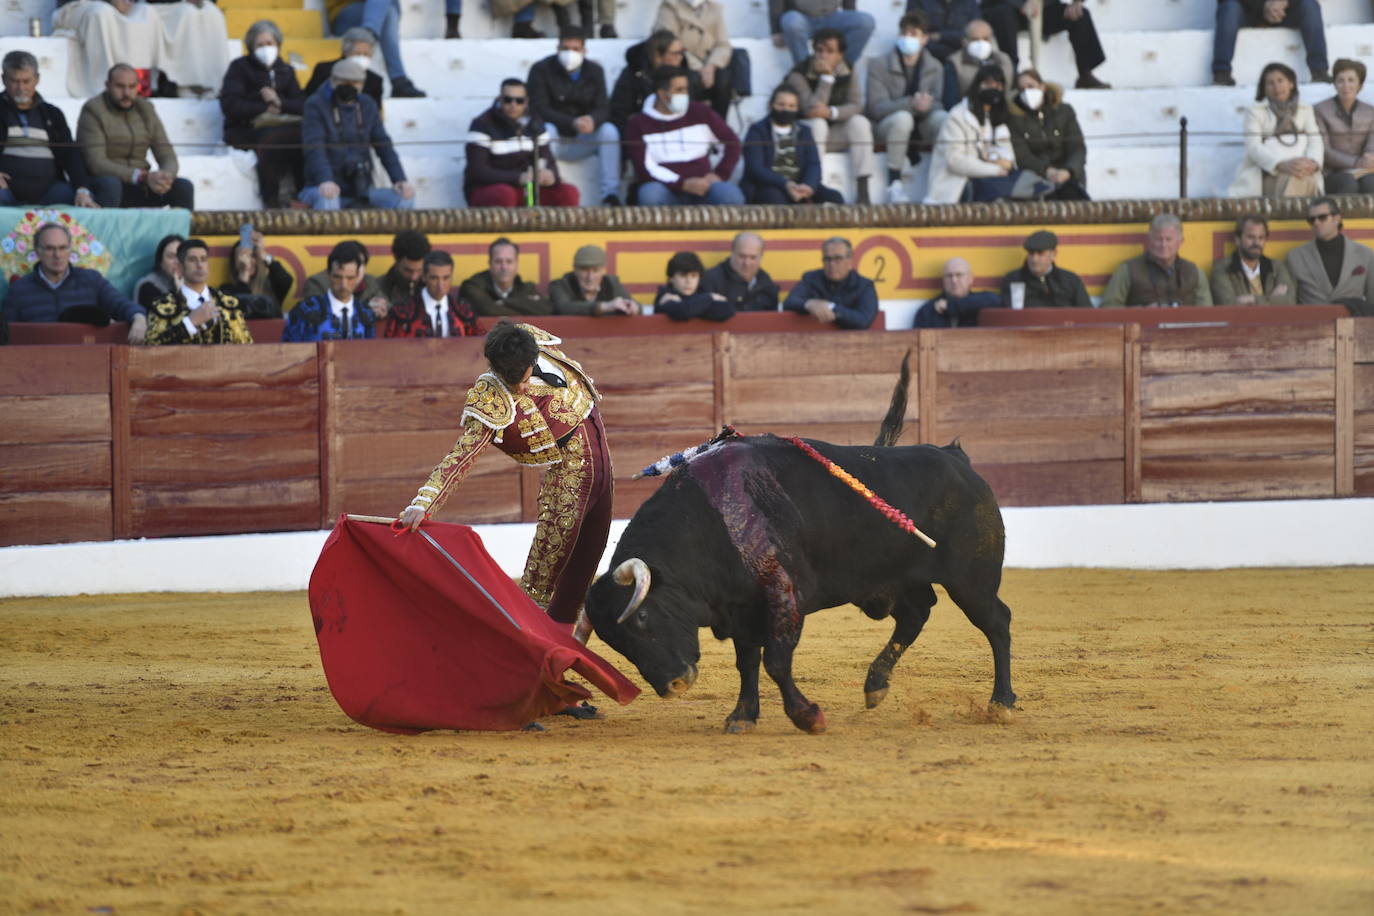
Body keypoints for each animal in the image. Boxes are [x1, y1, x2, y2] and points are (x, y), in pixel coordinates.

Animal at [585, 362, 1016, 736]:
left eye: (641, 618)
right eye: (613, 642)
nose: (673, 685)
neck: (712, 522)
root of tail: (958, 460)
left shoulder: (783, 597)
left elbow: (775, 661)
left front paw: (808, 716)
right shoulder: (741, 608)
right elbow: (747, 662)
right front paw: (742, 716)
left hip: (972, 580)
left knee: (996, 621)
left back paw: (1002, 703)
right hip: (898, 580)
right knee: (915, 615)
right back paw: (875, 686)